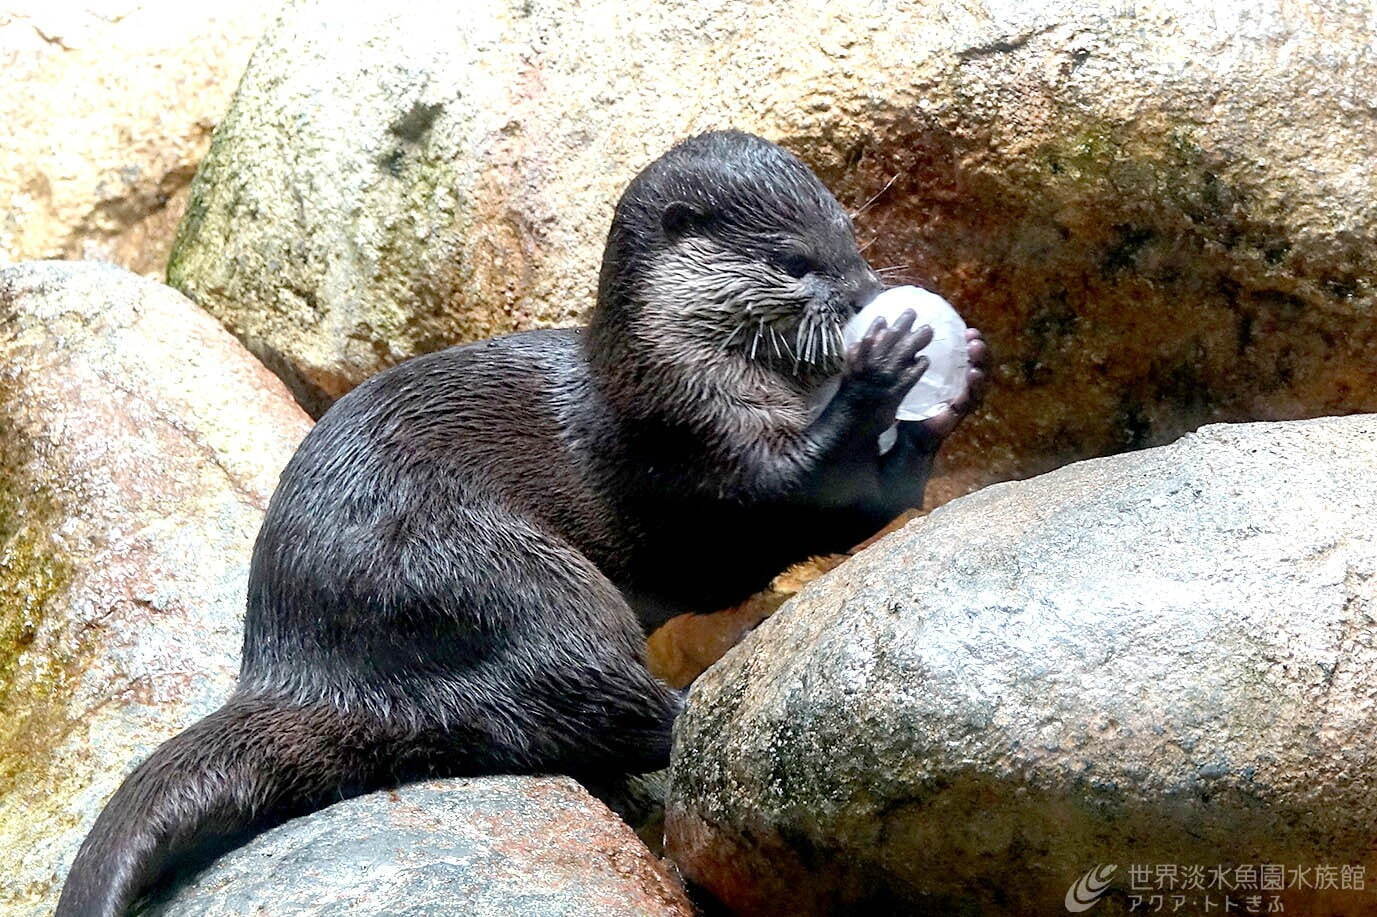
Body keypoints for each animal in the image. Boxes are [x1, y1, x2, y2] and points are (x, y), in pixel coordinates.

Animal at [59, 130, 985, 914]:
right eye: (792, 261)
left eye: (850, 238)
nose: (867, 295)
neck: (682, 369)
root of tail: (304, 666)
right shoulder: (680, 441)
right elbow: (782, 498)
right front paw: (881, 368)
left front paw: (952, 387)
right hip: (501, 577)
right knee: (582, 707)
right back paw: (700, 716)